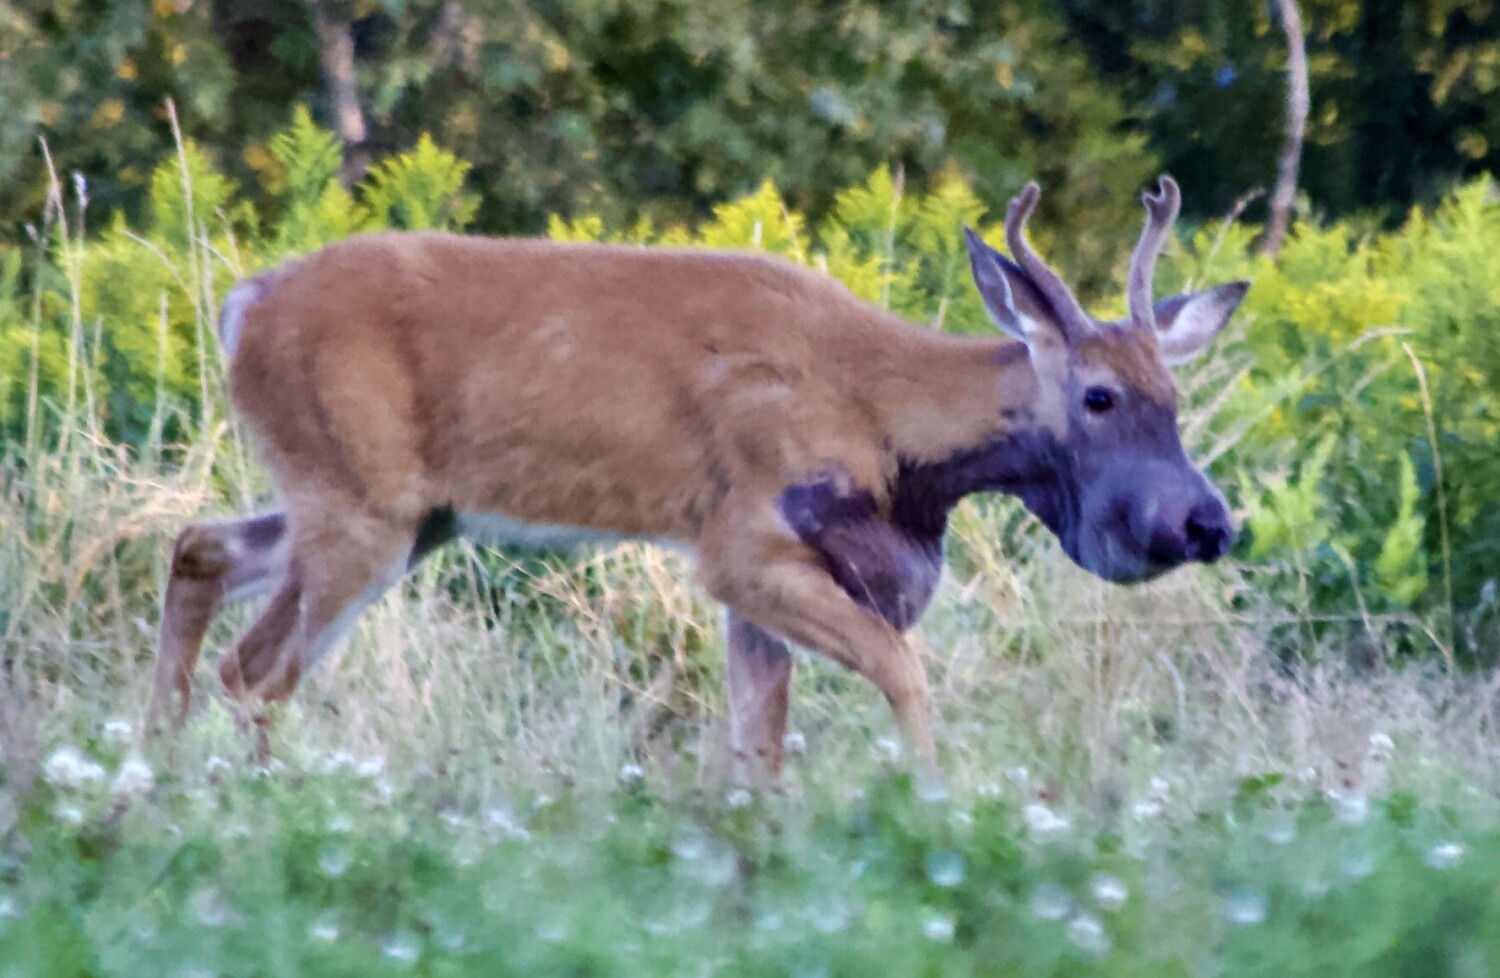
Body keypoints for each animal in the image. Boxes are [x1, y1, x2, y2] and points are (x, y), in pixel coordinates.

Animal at [151, 175, 1248, 783]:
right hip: (362, 506)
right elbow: (900, 671)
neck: (886, 427)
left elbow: (757, 749)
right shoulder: (744, 544)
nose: (1206, 523)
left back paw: (151, 770)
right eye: (1101, 395)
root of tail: (243, 308)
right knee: (258, 670)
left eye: (1175, 397)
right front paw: (938, 810)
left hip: (404, 513)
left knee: (199, 549)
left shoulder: (759, 590)